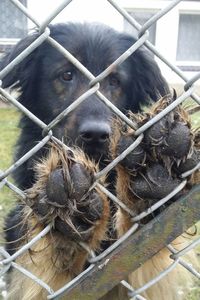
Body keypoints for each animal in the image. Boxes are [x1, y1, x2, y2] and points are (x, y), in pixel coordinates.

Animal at [0, 22, 197, 298]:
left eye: (115, 81)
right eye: (66, 75)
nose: (95, 135)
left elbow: (147, 246)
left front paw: (154, 169)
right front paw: (65, 227)